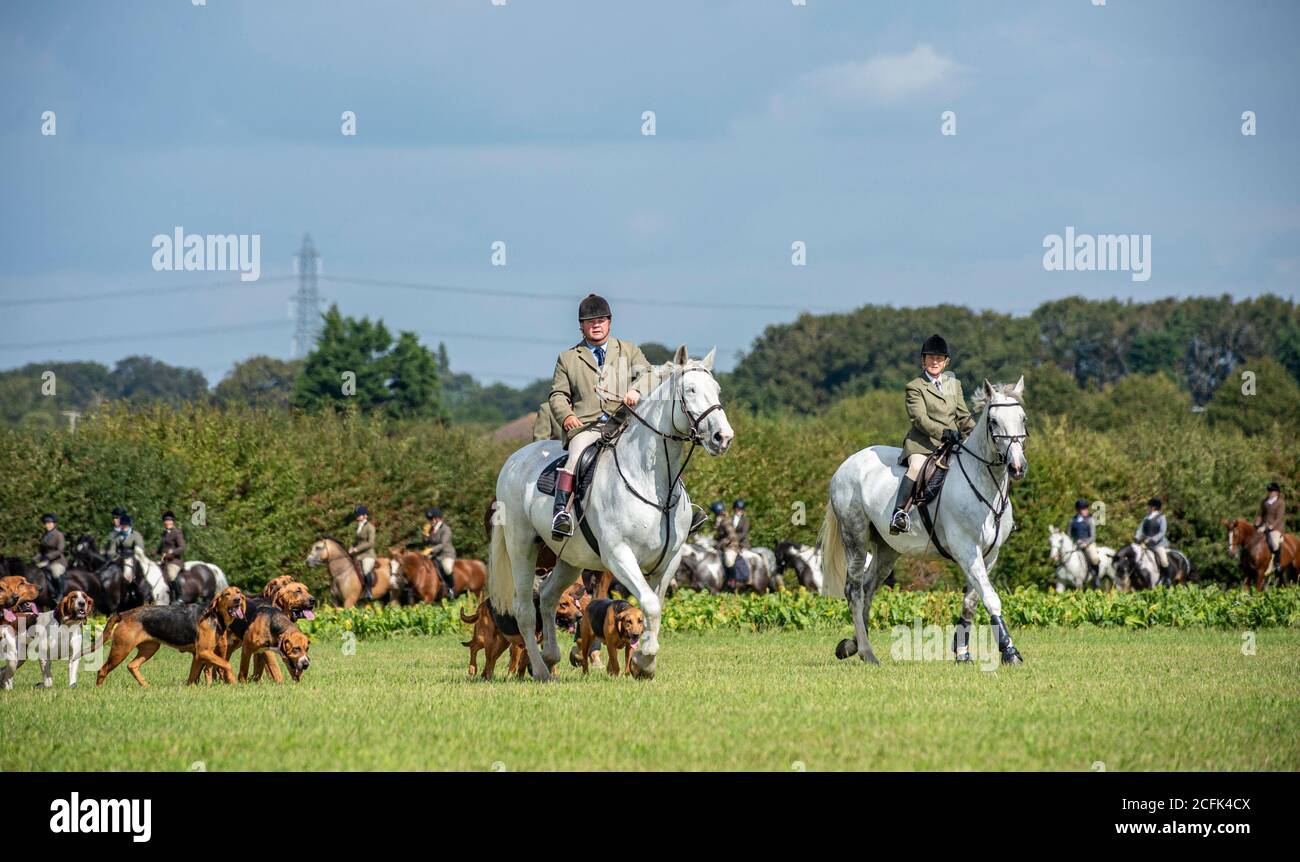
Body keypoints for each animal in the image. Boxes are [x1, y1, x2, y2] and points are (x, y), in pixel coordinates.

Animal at [488, 343, 733, 681]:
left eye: (717, 389)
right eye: (691, 390)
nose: (723, 437)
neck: (653, 482)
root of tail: (514, 460)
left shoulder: (669, 560)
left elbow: (654, 605)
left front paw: (643, 662)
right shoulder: (619, 555)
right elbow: (649, 604)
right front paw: (645, 659)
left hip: (569, 558)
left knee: (548, 597)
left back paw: (552, 656)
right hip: (522, 547)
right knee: (525, 609)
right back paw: (540, 669)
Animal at [816, 377, 1029, 665]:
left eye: (1023, 418)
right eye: (993, 421)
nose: (1017, 467)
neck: (985, 484)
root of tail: (846, 464)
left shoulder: (990, 553)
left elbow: (971, 601)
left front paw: (962, 651)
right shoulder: (966, 549)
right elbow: (990, 598)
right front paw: (1009, 651)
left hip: (887, 548)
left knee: (869, 587)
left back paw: (852, 645)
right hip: (855, 536)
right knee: (855, 590)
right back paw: (866, 652)